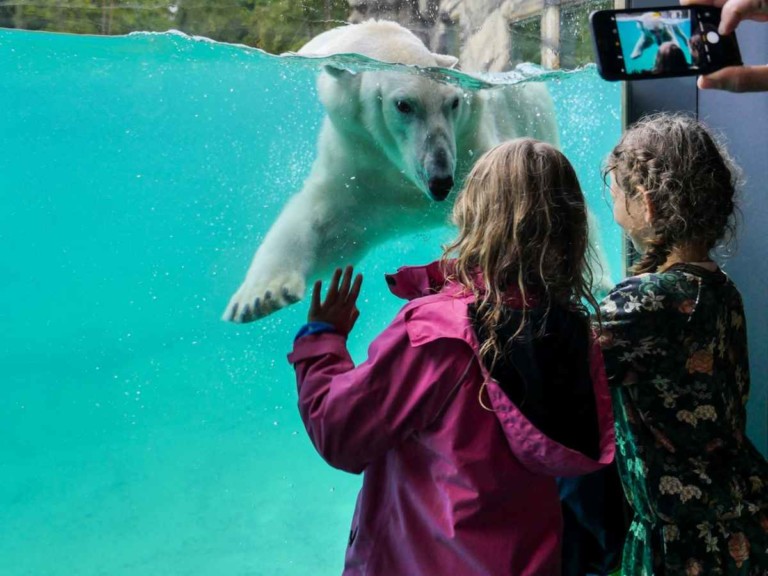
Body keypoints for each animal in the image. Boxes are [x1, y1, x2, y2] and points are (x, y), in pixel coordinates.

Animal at [225, 20, 560, 322]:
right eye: (403, 105)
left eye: (453, 102)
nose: (441, 182)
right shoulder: (358, 164)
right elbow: (323, 223)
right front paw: (260, 296)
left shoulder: (471, 143)